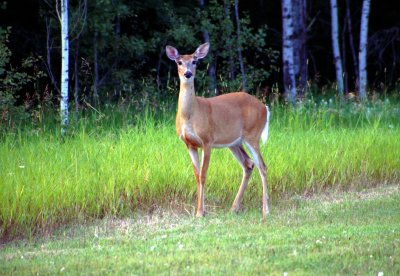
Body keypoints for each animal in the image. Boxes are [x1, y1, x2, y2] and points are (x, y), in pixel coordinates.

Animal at [166, 42, 272, 219]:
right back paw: (234, 208)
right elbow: (196, 175)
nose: (188, 73)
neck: (190, 115)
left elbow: (203, 175)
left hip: (252, 135)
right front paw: (199, 210)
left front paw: (200, 212)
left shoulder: (207, 140)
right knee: (249, 164)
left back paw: (265, 210)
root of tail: (265, 107)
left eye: (195, 61)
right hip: (234, 142)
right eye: (179, 62)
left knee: (262, 166)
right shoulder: (189, 144)